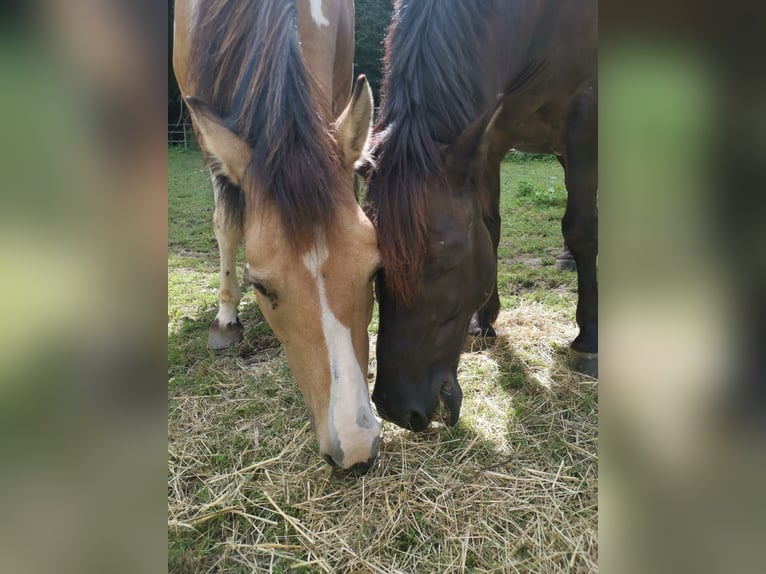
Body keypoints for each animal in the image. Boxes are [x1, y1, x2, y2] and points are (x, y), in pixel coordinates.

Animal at [366, 0, 600, 432]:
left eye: (447, 258)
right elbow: (491, 228)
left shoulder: (585, 116)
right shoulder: (492, 139)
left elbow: (581, 229)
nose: (397, 408)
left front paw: (588, 341)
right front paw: (484, 321)